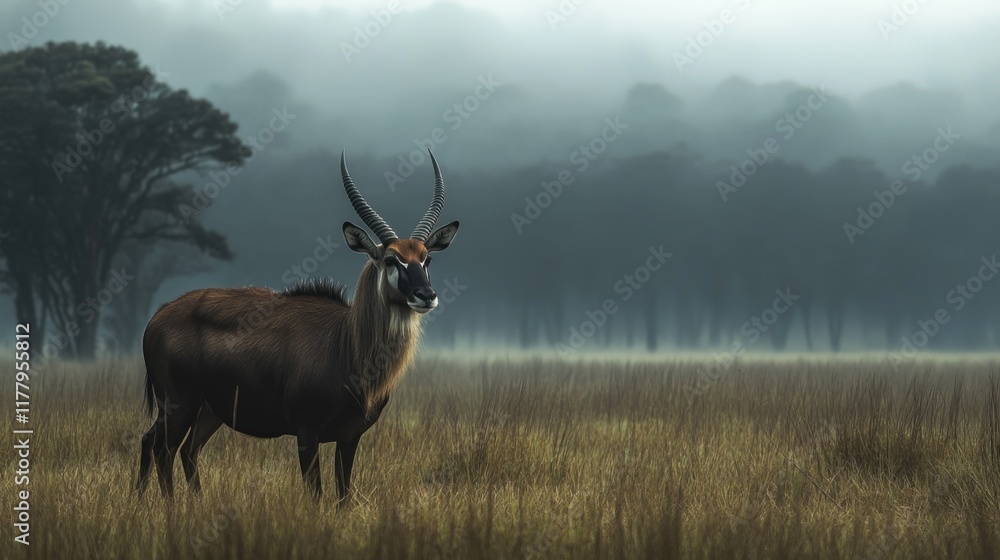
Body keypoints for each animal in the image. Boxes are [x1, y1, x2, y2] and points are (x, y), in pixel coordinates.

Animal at [136, 150, 459, 502]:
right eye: (390, 259)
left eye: (426, 258)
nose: (426, 295)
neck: (347, 344)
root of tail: (157, 317)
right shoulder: (307, 433)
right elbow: (315, 494)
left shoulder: (349, 437)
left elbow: (343, 495)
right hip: (178, 405)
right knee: (160, 448)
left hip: (208, 411)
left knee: (180, 449)